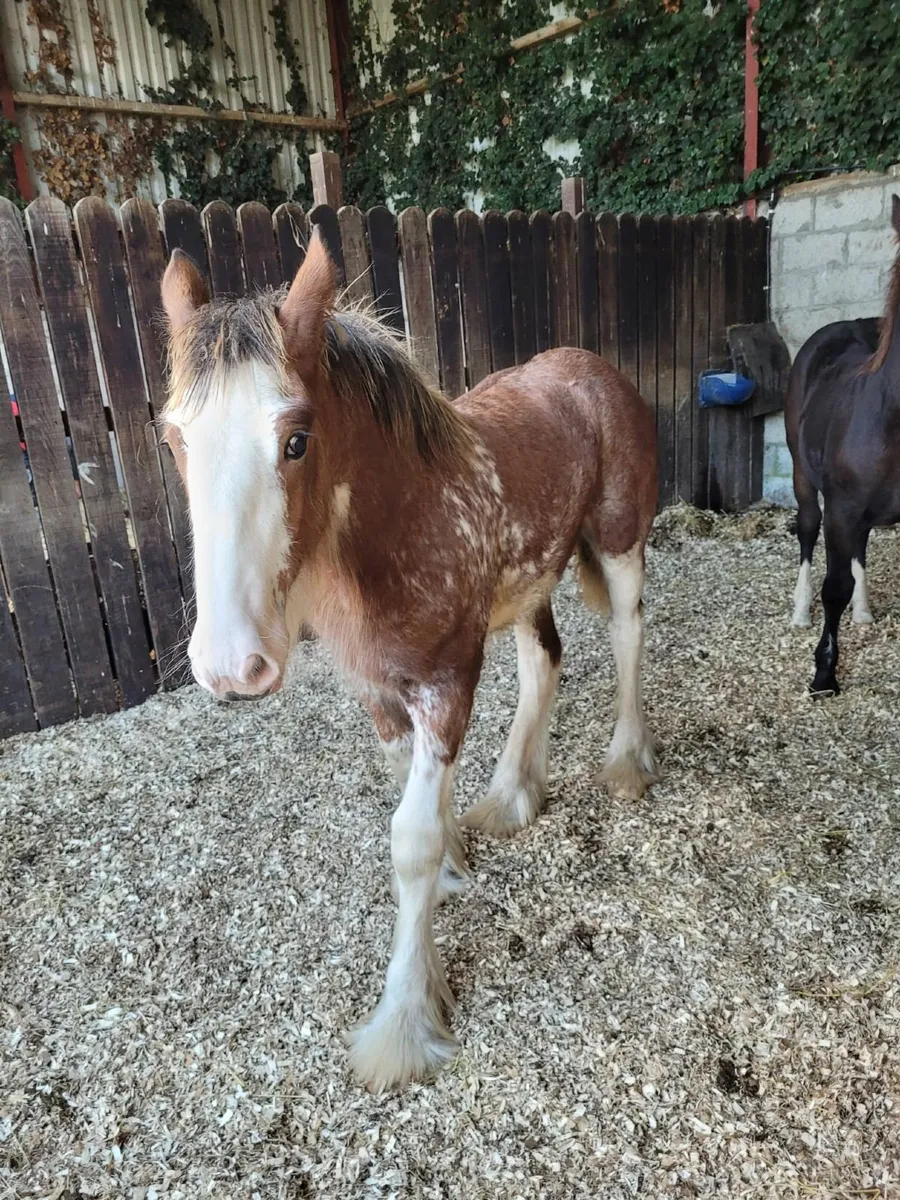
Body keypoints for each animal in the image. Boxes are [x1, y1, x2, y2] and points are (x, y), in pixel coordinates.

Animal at [159, 230, 659, 1091]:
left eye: (296, 440)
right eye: (175, 438)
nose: (230, 667)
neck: (403, 519)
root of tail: (590, 368)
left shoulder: (448, 682)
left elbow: (411, 840)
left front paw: (404, 1022)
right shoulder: (381, 694)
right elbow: (414, 803)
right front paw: (458, 861)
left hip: (620, 541)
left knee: (627, 634)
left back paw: (627, 763)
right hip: (527, 581)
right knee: (544, 663)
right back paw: (511, 795)